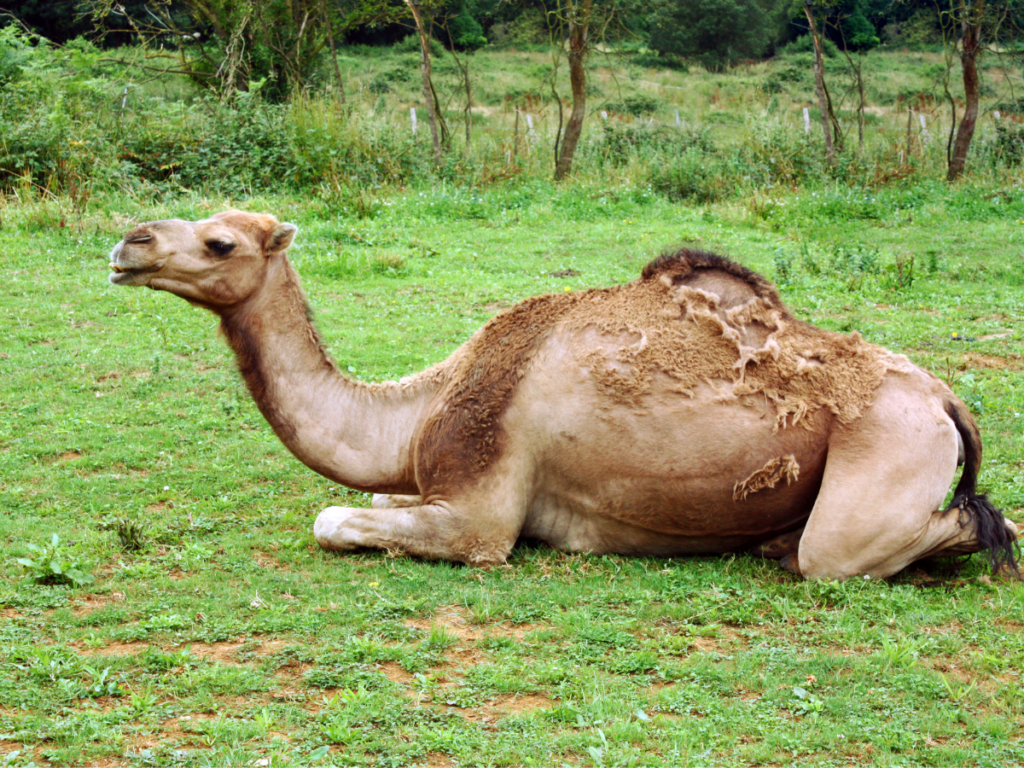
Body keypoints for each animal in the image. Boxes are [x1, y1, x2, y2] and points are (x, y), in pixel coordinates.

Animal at [108, 207, 1019, 581]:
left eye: (221, 242)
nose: (129, 244)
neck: (421, 406)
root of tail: (945, 398)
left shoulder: (480, 514)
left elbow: (333, 518)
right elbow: (364, 502)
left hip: (890, 451)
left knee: (933, 533)